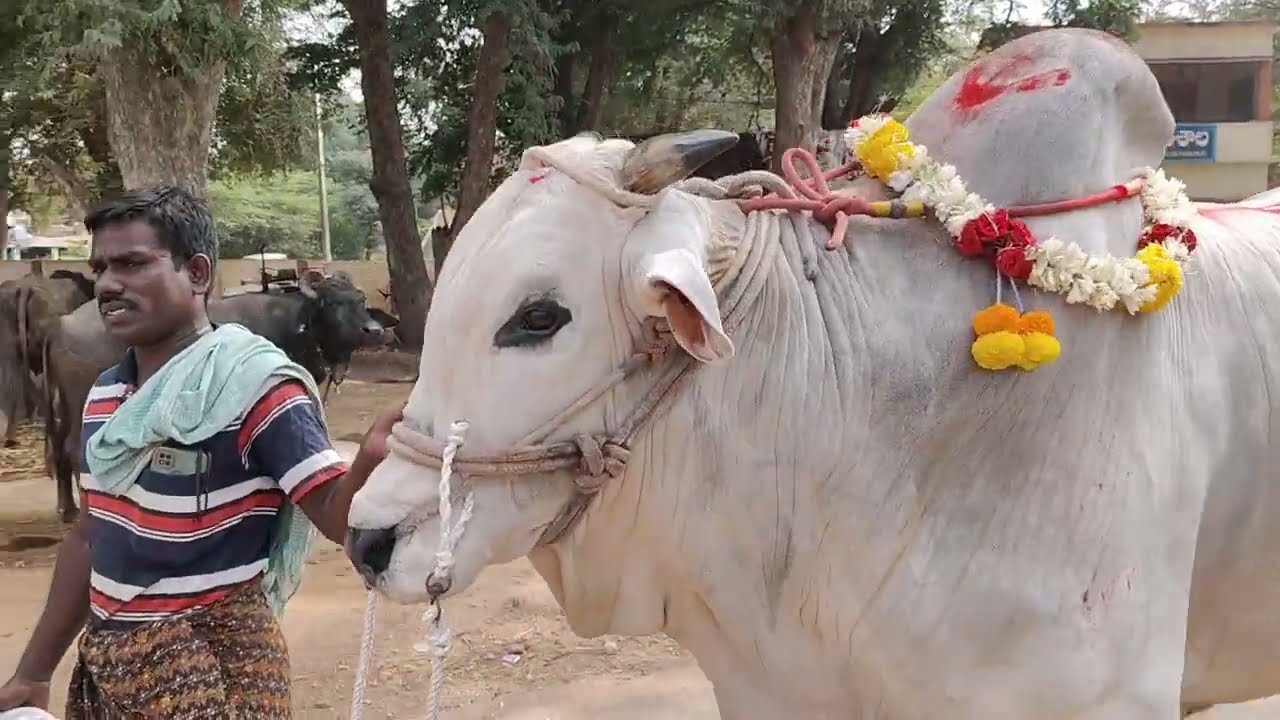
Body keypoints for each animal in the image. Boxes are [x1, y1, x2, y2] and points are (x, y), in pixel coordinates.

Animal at [42, 272, 396, 522]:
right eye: (333, 303)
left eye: (360, 299)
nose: (373, 330)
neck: (299, 325)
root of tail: (61, 325)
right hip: (83, 400)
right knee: (75, 448)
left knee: (60, 446)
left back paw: (68, 508)